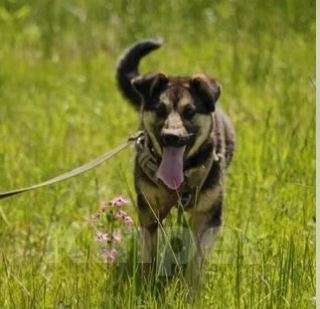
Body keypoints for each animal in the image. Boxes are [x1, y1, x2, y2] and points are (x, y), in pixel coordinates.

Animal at [115, 38, 235, 276]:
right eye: (161, 109)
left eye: (189, 111)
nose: (171, 136)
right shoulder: (149, 210)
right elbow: (149, 251)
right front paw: (147, 281)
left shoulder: (208, 215)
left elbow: (198, 257)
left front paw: (191, 282)